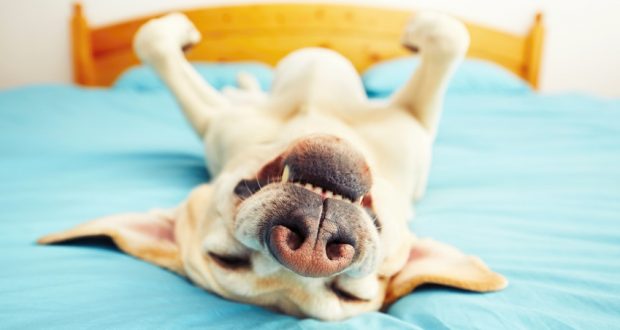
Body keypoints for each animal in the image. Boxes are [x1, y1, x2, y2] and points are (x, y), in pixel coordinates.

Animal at [38, 10, 506, 320]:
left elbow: (451, 38)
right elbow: (151, 42)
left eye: (350, 296)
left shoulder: (415, 123)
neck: (315, 119)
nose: (312, 247)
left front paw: (420, 29)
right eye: (226, 261)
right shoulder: (215, 121)